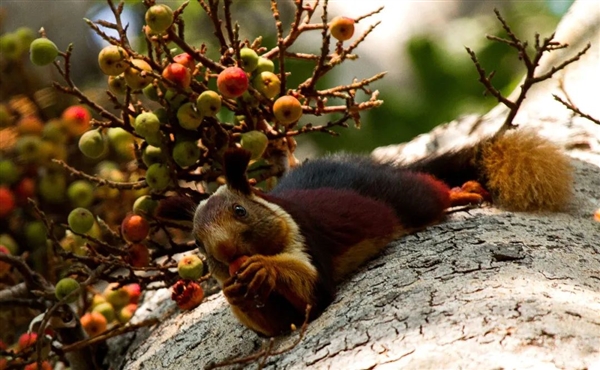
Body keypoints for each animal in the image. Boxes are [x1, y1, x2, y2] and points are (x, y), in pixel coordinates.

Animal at [157, 131, 576, 338]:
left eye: (240, 211)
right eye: (198, 244)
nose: (227, 252)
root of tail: (375, 169)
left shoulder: (306, 238)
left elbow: (316, 293)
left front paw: (266, 268)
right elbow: (276, 326)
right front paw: (234, 292)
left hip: (406, 198)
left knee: (427, 191)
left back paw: (460, 191)